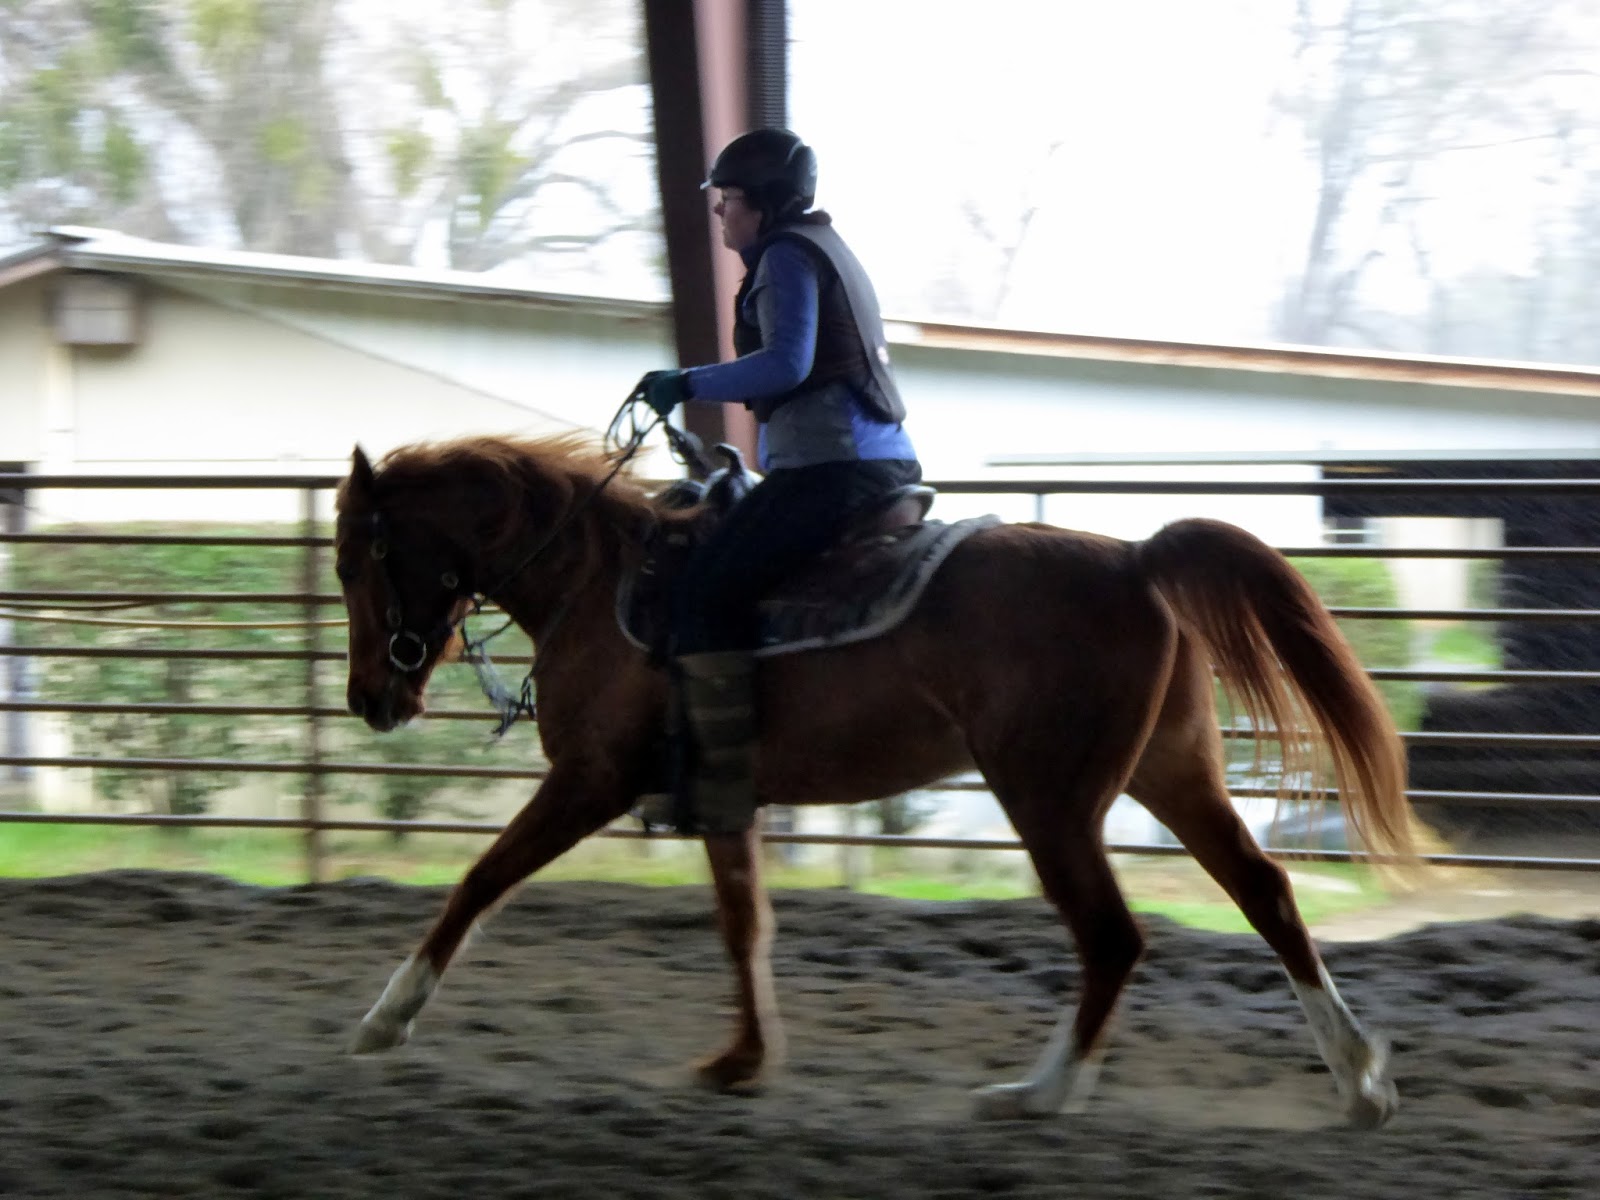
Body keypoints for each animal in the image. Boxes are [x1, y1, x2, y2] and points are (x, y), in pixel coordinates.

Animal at [334, 431, 1414, 1128]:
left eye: (353, 561)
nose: (368, 698)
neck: (598, 587)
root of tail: (1135, 559)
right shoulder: (723, 797)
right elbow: (744, 924)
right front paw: (743, 1060)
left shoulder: (589, 779)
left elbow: (480, 879)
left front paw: (385, 1018)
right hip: (1171, 772)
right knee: (1264, 893)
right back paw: (1359, 1078)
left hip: (1051, 798)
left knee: (1113, 936)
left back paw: (1042, 1092)